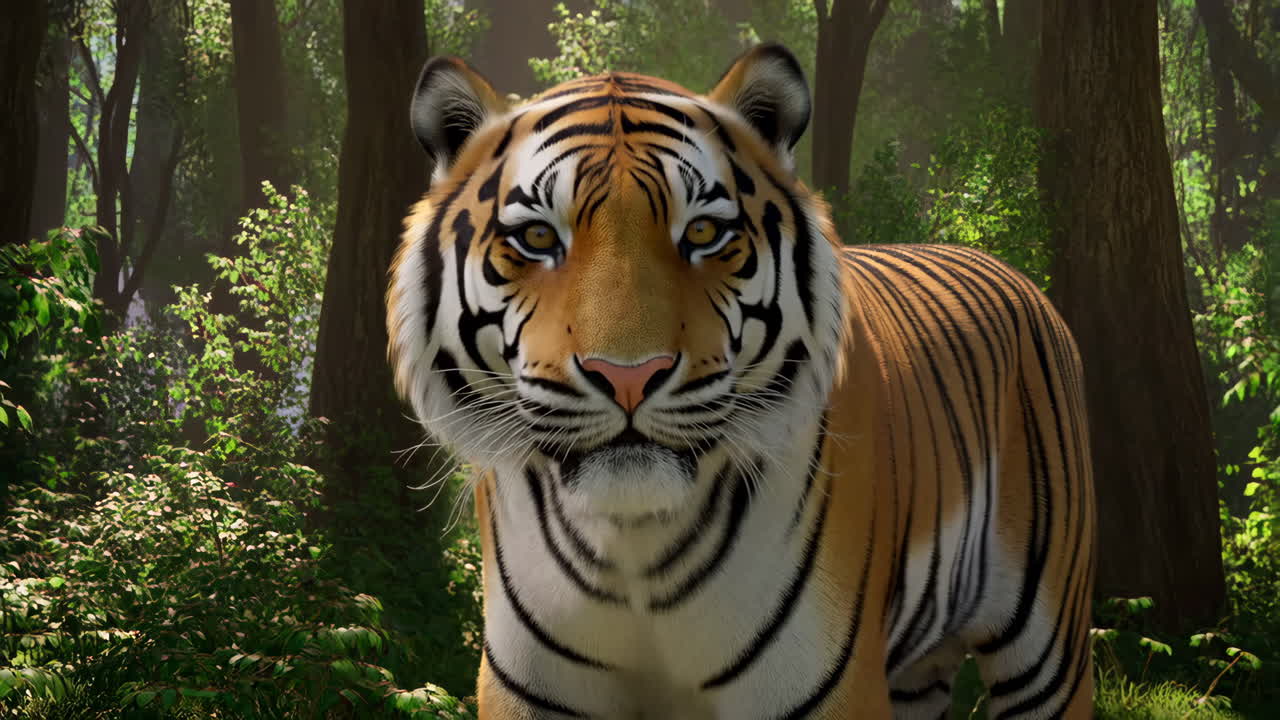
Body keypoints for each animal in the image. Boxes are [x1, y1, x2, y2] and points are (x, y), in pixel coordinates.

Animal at [386, 43, 1095, 720]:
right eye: (536, 236)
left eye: (702, 231)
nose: (628, 376)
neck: (634, 548)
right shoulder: (528, 694)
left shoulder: (832, 691)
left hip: (1046, 651)